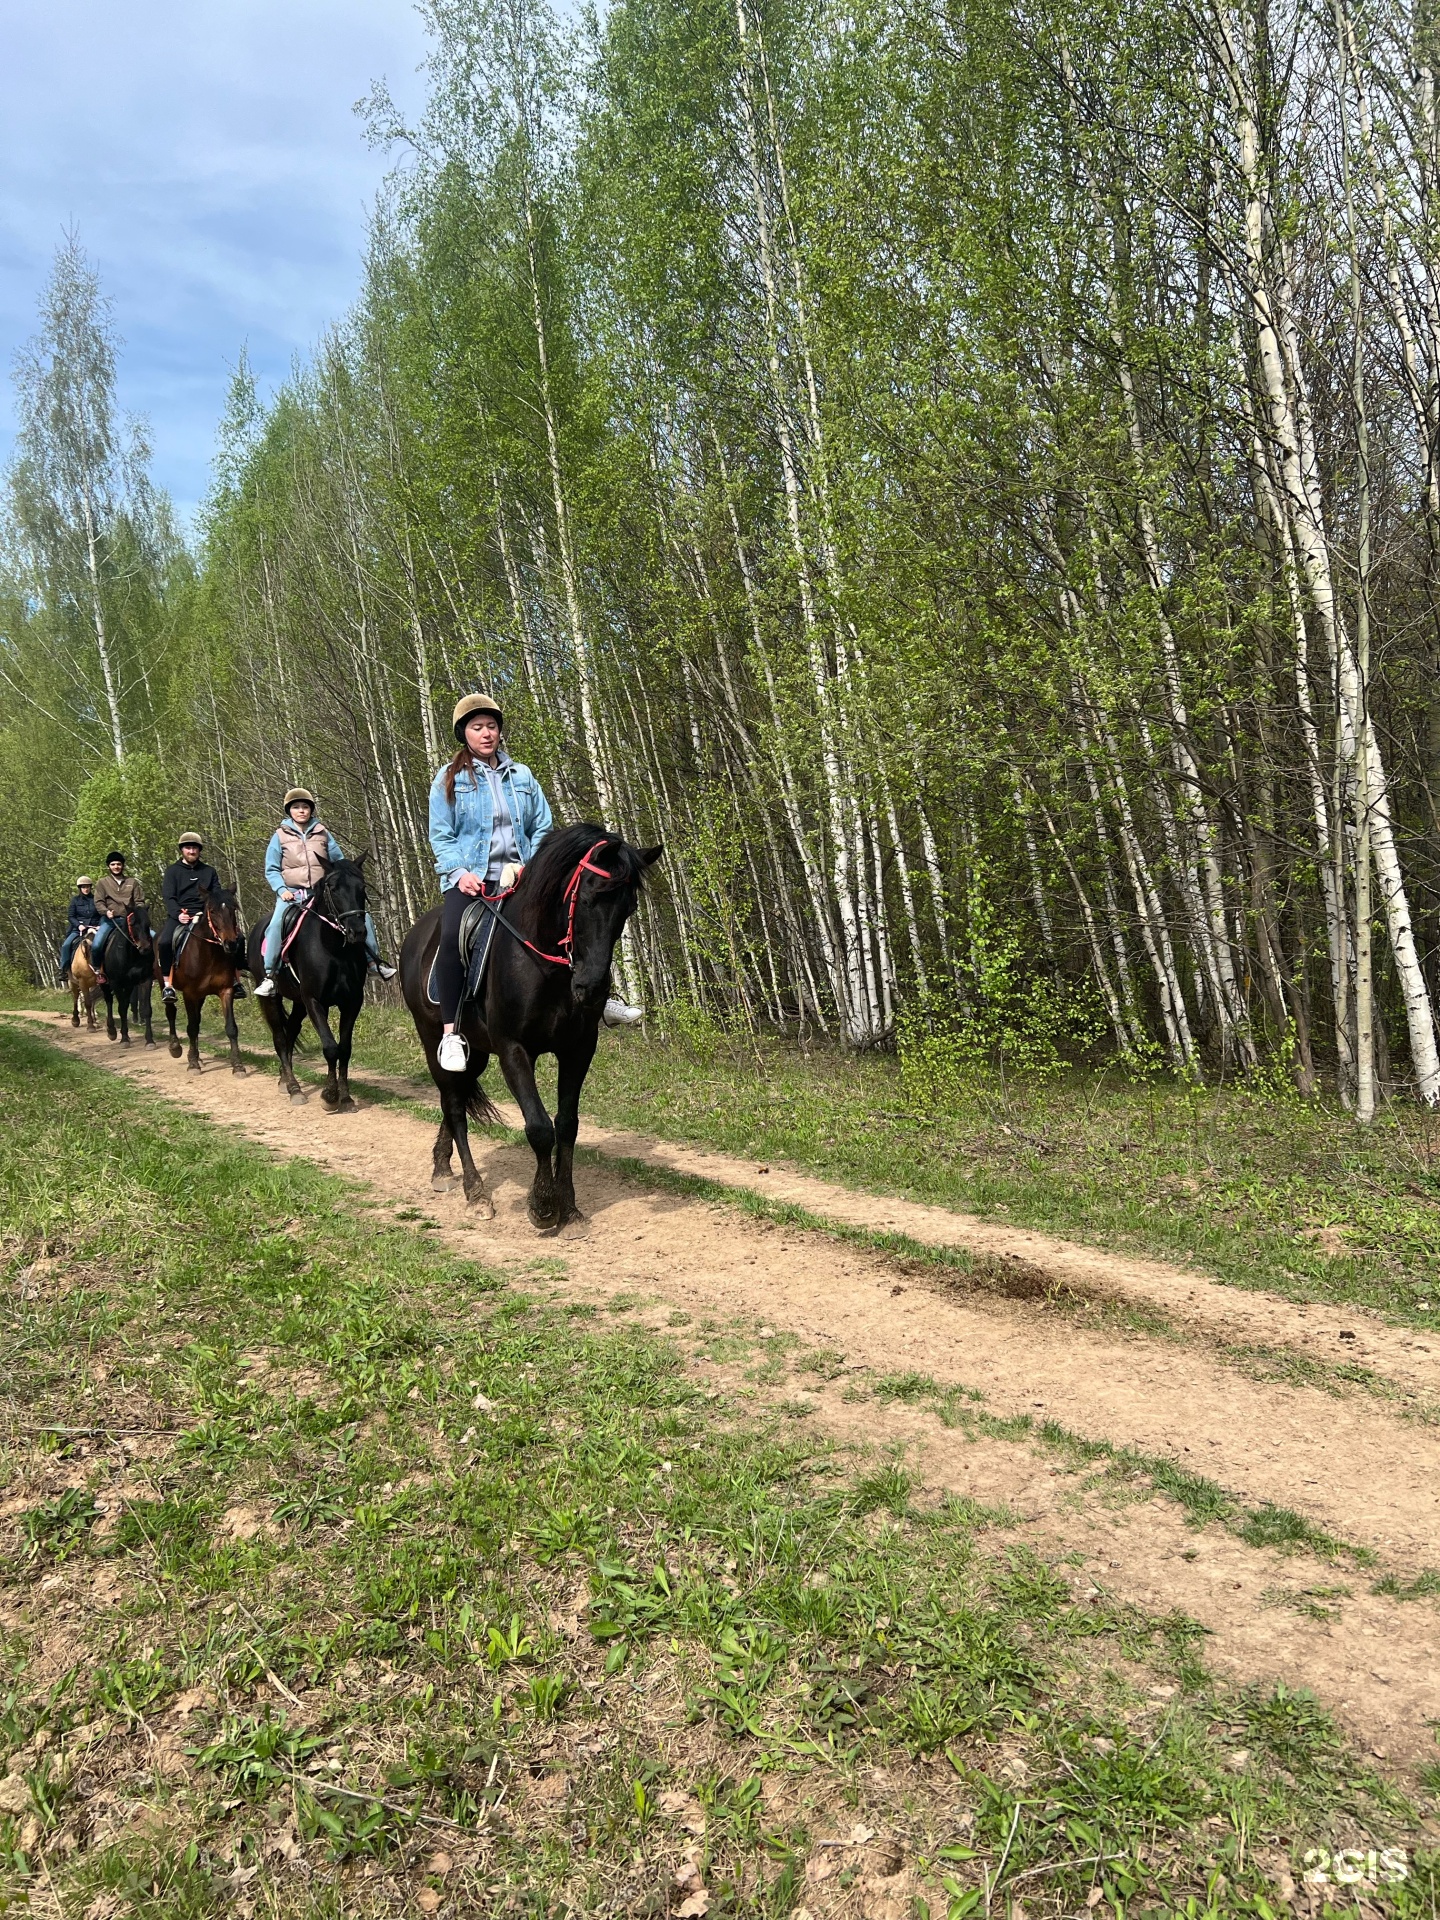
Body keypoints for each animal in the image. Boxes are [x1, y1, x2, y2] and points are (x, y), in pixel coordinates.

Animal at [98, 910, 157, 1052]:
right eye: (132, 924)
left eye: (148, 923)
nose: (145, 948)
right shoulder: (116, 983)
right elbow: (121, 1009)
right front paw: (124, 1039)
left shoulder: (145, 980)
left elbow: (146, 1009)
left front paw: (149, 1041)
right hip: (105, 984)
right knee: (109, 1001)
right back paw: (112, 1031)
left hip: (129, 985)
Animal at [168, 879, 247, 1075]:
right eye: (212, 911)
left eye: (234, 908)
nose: (231, 943)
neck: (209, 953)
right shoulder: (189, 994)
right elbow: (191, 1028)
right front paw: (192, 1064)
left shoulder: (225, 990)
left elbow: (231, 1028)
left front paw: (237, 1065)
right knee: (171, 1012)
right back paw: (176, 1048)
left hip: (201, 996)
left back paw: (196, 1056)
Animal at [247, 856, 372, 1113]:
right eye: (333, 888)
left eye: (362, 887)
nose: (357, 932)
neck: (333, 950)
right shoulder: (315, 1001)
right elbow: (330, 1047)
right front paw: (329, 1096)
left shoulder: (351, 1002)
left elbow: (345, 1049)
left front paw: (346, 1098)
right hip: (272, 999)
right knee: (280, 1039)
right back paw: (294, 1088)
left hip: (298, 1003)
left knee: (290, 1033)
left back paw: (284, 1080)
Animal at [397, 817, 664, 1221]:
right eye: (587, 898)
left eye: (628, 908)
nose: (591, 988)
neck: (544, 966)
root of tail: (415, 936)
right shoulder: (513, 1049)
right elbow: (539, 1127)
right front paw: (542, 1205)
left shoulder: (578, 1049)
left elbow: (567, 1124)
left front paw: (569, 1207)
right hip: (434, 1041)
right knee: (455, 1107)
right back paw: (475, 1192)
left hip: (476, 1052)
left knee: (453, 1097)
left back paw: (442, 1168)